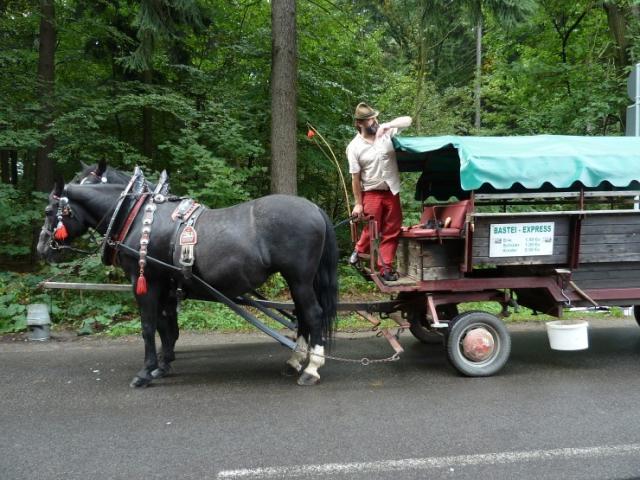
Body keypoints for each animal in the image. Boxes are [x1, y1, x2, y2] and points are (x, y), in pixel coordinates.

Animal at [38, 165, 340, 386]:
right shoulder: (167, 285)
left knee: (312, 314)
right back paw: (295, 361)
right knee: (302, 315)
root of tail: (314, 208)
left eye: (49, 210)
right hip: (298, 280)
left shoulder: (147, 281)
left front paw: (145, 372)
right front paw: (163, 365)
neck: (136, 216)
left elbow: (149, 326)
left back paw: (311, 368)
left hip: (299, 278)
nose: (42, 247)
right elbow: (166, 326)